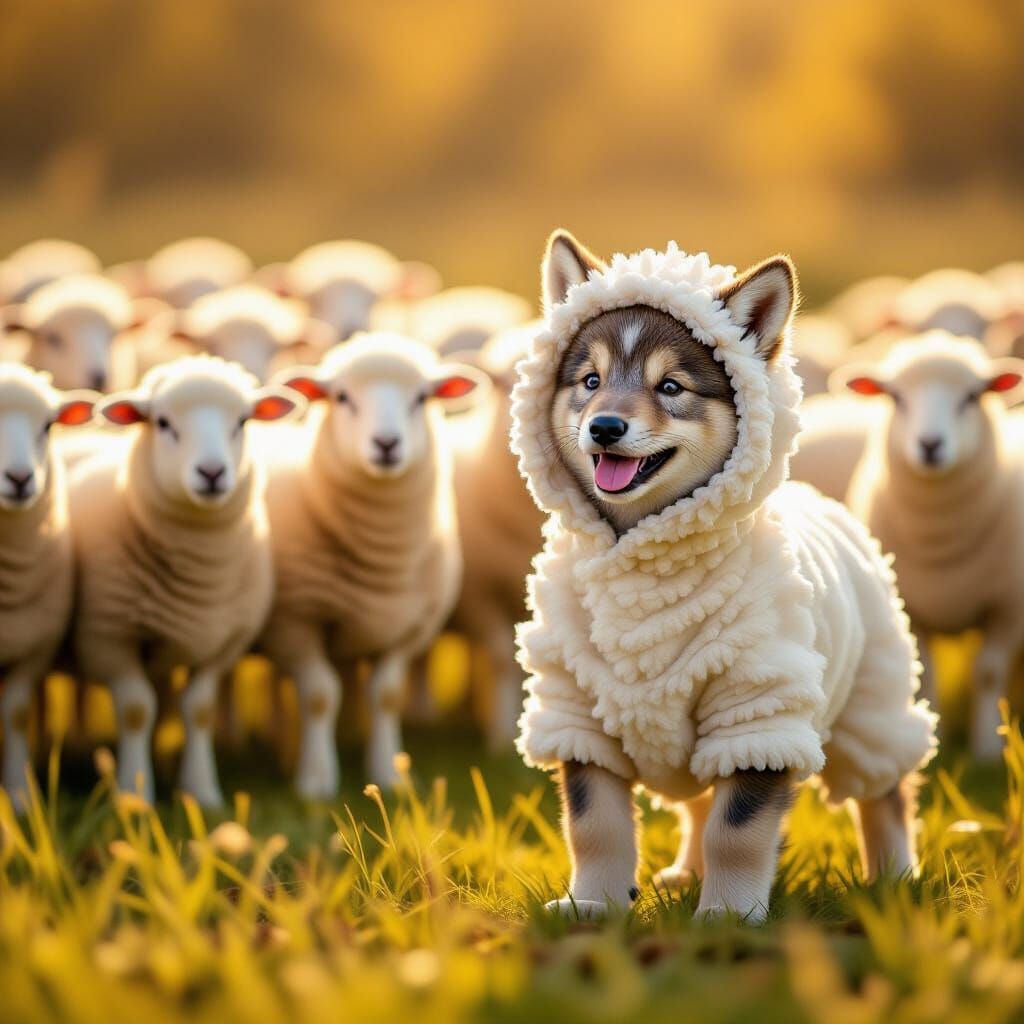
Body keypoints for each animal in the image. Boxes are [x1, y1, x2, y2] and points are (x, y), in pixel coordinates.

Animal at [68, 356, 301, 804]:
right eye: (162, 422)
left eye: (242, 421)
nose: (212, 472)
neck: (200, 569)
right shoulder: (109, 639)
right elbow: (136, 710)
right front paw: (135, 792)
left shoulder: (223, 644)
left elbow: (199, 710)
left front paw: (201, 790)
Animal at [258, 334, 485, 797]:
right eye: (342, 397)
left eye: (421, 398)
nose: (386, 444)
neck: (382, 554)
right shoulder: (296, 621)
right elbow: (319, 695)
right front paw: (315, 780)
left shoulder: (408, 626)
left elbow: (387, 695)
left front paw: (389, 774)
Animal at [838, 332, 1024, 759]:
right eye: (896, 398)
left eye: (972, 397)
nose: (930, 444)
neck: (941, 539)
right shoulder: (909, 604)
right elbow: (925, 670)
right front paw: (934, 740)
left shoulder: (1009, 607)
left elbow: (988, 673)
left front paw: (987, 748)